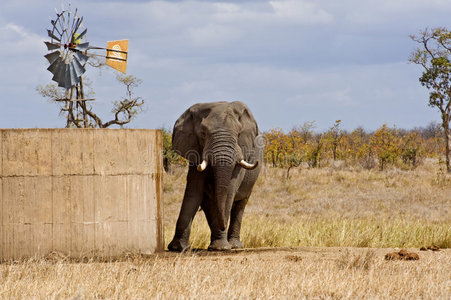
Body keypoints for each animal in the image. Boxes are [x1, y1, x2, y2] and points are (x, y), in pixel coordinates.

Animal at [168, 101, 264, 251]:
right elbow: (193, 191)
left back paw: (234, 245)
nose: (223, 225)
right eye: (203, 134)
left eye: (238, 134)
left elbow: (230, 189)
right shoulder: (196, 150)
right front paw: (177, 248)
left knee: (240, 206)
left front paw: (221, 247)